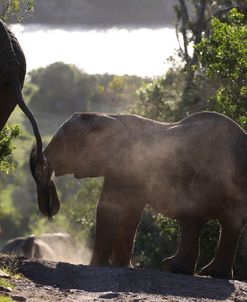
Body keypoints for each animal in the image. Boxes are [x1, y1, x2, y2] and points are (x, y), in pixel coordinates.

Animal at [31, 111, 247, 278]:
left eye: (61, 143)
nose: (50, 212)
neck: (108, 116)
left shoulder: (129, 165)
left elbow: (110, 208)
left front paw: (97, 266)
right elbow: (128, 212)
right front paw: (121, 266)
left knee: (194, 216)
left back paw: (175, 268)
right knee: (229, 223)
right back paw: (213, 274)